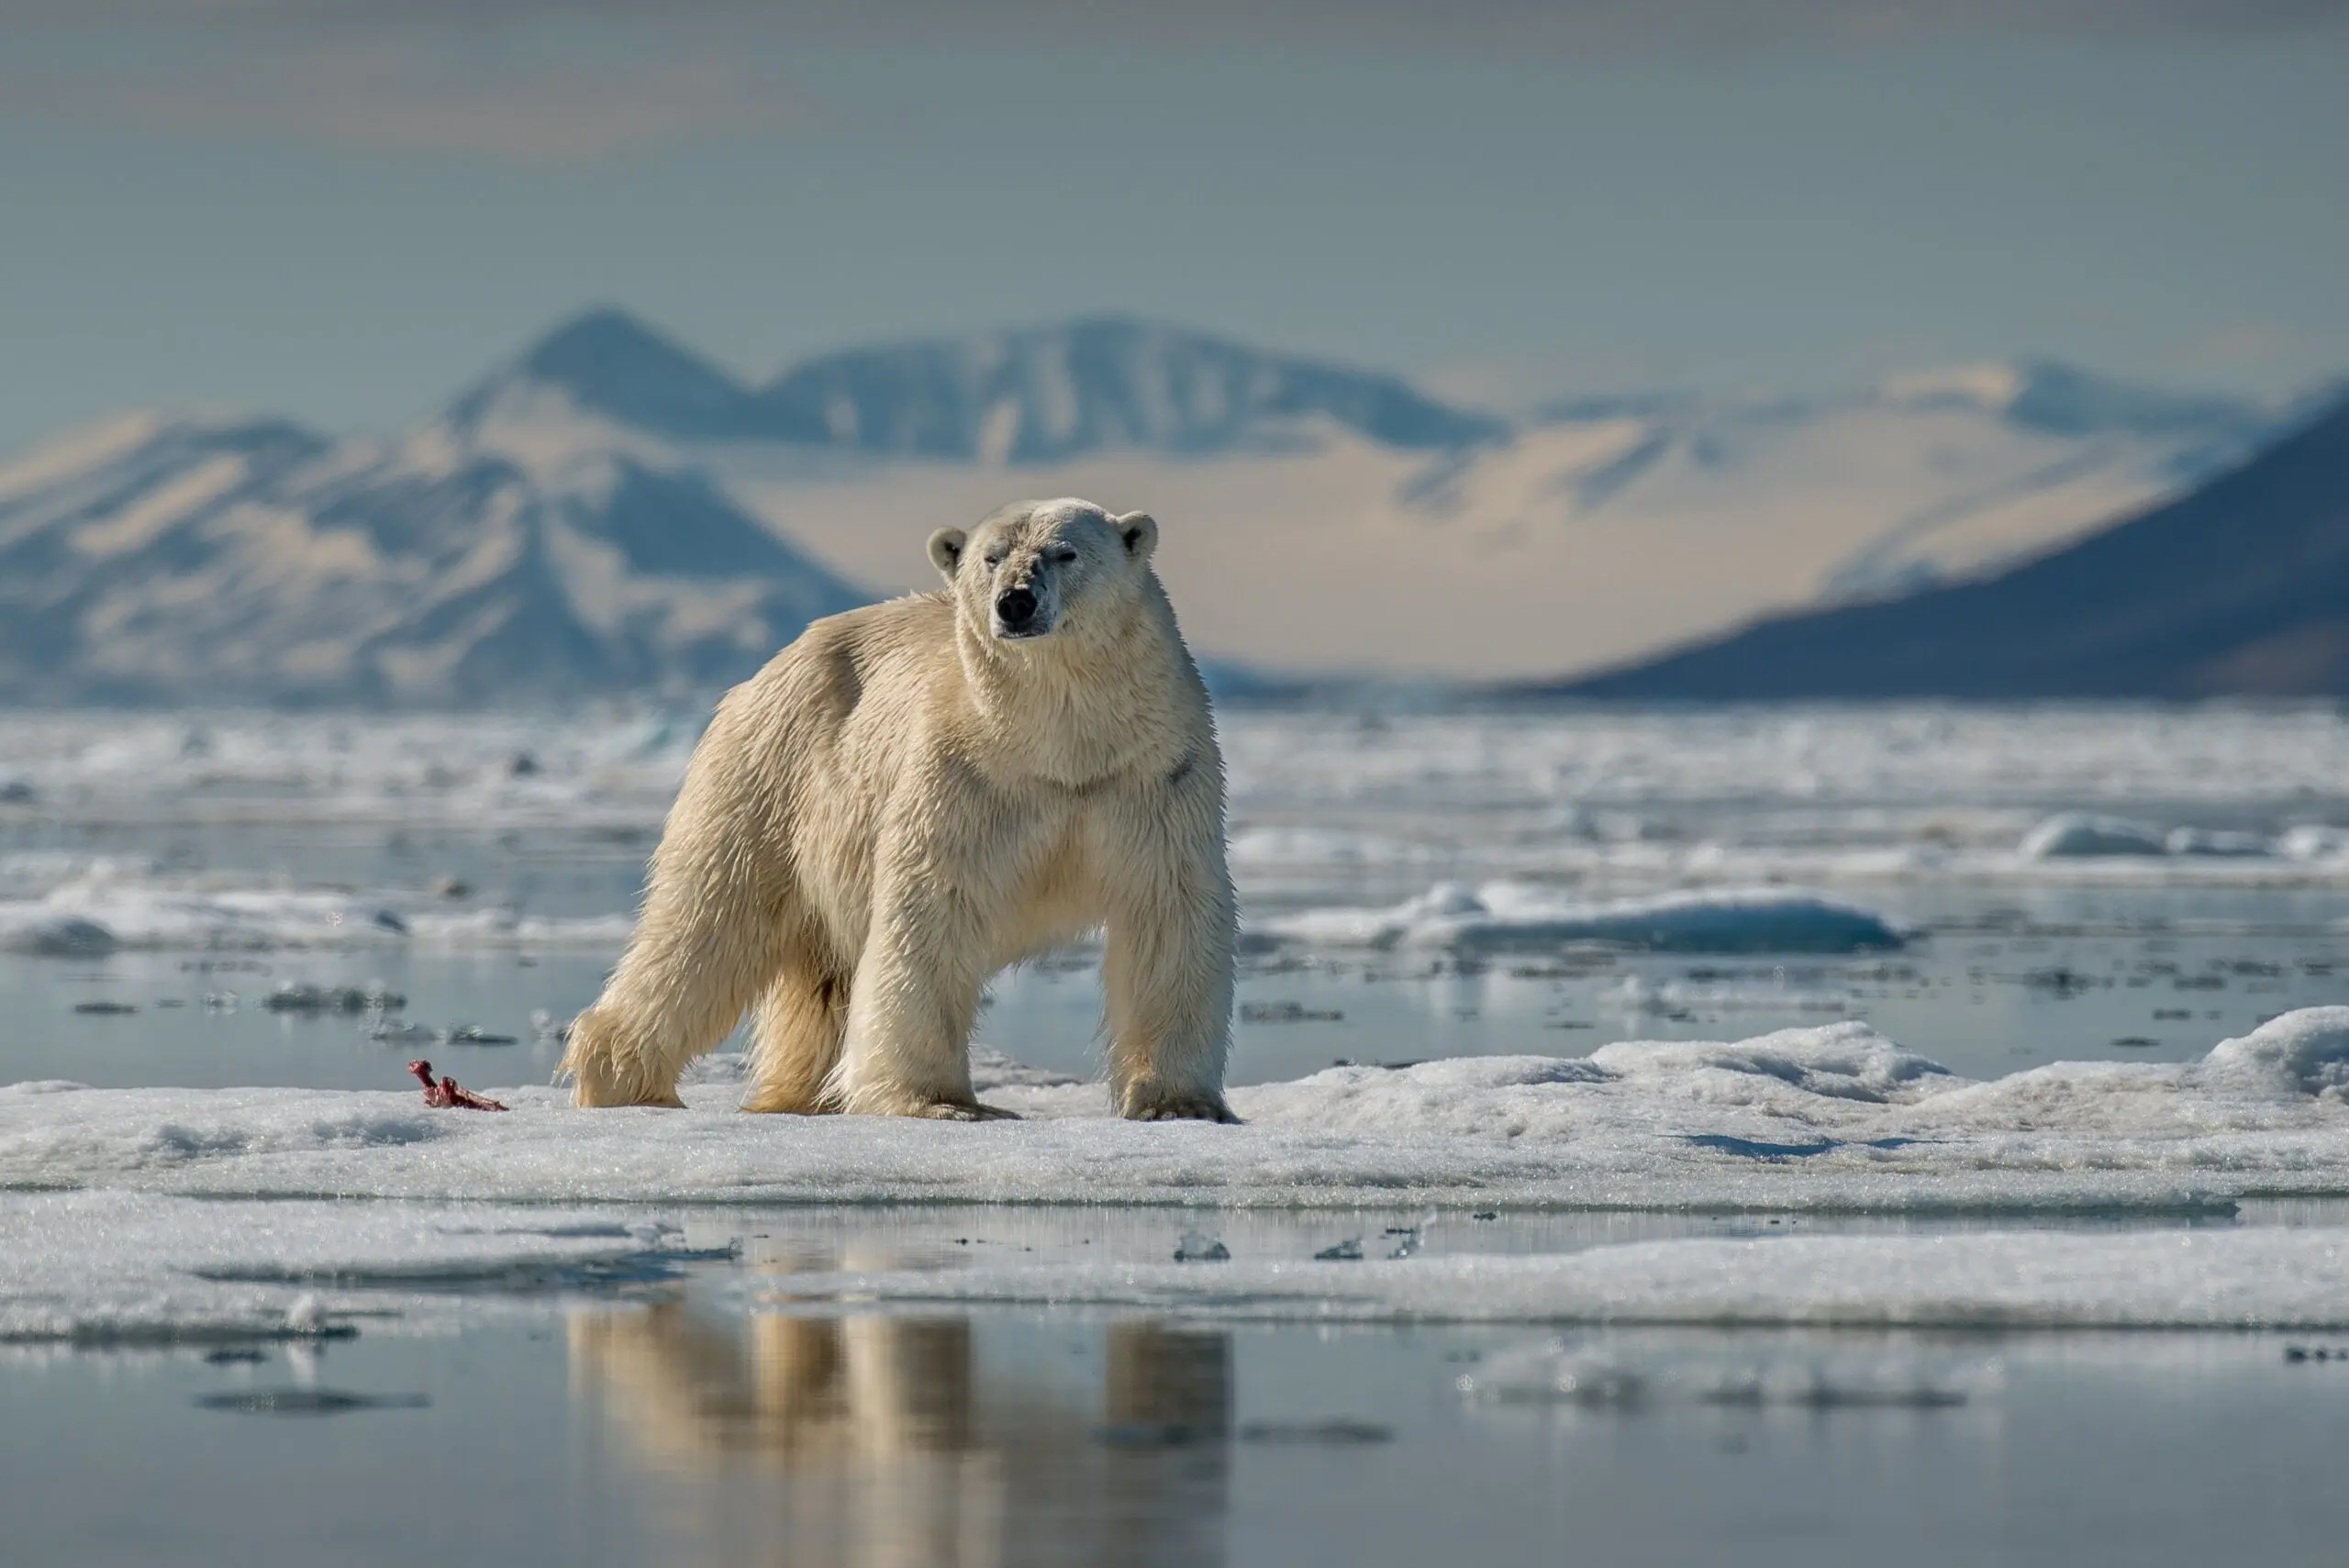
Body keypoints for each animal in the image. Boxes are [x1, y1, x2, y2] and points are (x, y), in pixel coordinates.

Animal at [559, 495, 1240, 1121]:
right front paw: (941, 1101)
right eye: (992, 558)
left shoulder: (1153, 776)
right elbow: (932, 912)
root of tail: (767, 671)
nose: (1015, 602)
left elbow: (1167, 911)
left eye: (1065, 552)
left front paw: (1180, 1103)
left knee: (809, 974)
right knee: (709, 919)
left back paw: (800, 1093)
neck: (1061, 744)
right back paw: (624, 1080)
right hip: (774, 776)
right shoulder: (966, 774)